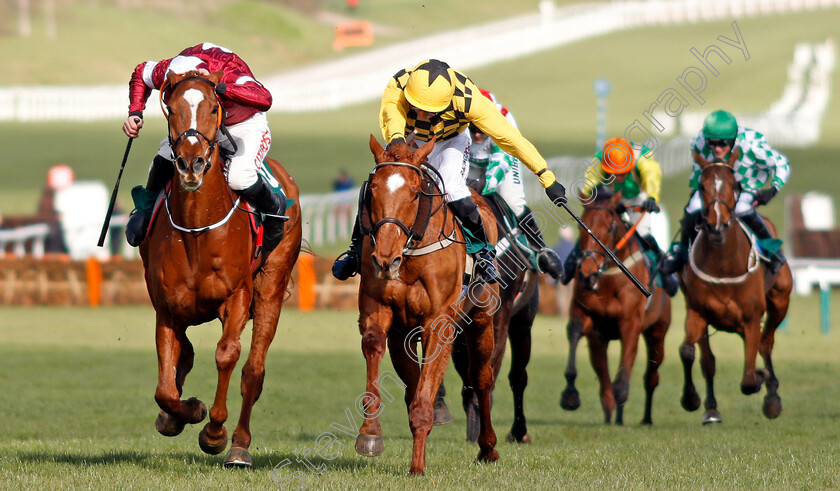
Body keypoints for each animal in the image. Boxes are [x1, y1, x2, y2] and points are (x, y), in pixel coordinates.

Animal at [140, 71, 302, 468]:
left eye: (215, 107)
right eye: (171, 107)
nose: (192, 163)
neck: (198, 229)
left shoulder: (238, 296)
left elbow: (227, 354)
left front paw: (214, 432)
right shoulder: (167, 307)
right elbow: (166, 384)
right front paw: (183, 412)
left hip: (271, 289)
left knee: (253, 371)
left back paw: (239, 447)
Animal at [352, 135, 498, 476]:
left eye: (415, 192)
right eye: (373, 189)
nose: (385, 259)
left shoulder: (438, 321)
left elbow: (426, 392)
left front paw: (417, 465)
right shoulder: (382, 313)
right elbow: (375, 345)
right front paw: (370, 434)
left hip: (482, 320)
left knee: (482, 378)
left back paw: (488, 447)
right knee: (413, 382)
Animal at [560, 192, 672, 426]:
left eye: (610, 228)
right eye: (582, 226)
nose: (587, 273)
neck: (610, 278)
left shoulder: (631, 323)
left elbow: (624, 372)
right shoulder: (589, 320)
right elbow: (574, 331)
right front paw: (570, 395)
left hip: (658, 332)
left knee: (651, 377)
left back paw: (644, 418)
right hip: (601, 339)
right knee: (604, 378)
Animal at [680, 152, 792, 424]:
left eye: (734, 185)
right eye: (702, 186)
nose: (716, 226)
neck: (723, 264)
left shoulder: (751, 317)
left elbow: (750, 379)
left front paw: (764, 379)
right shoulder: (697, 312)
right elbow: (689, 353)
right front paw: (691, 399)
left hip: (780, 300)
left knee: (766, 342)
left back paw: (772, 396)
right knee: (708, 361)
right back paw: (711, 409)